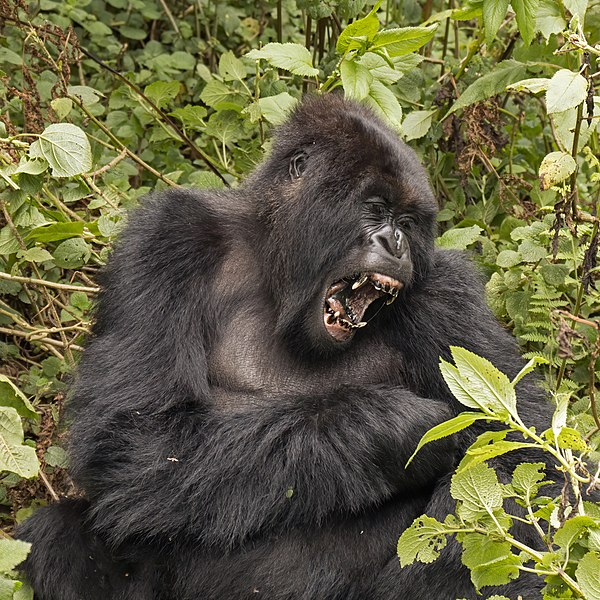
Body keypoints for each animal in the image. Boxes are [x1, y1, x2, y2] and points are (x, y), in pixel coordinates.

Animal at [18, 95, 552, 600]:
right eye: (375, 211)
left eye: (407, 221)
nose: (397, 243)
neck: (275, 261)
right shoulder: (165, 240)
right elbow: (135, 435)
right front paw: (401, 427)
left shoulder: (445, 290)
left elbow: (524, 448)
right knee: (56, 535)